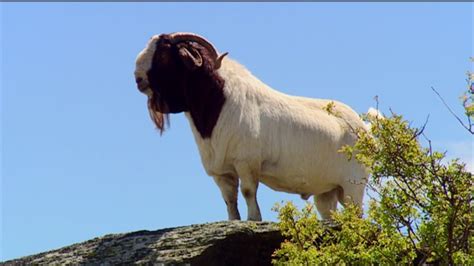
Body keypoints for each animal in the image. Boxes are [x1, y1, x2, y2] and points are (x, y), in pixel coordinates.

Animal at [133, 32, 370, 220]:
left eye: (163, 54)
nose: (138, 79)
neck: (219, 104)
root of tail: (366, 130)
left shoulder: (246, 163)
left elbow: (248, 192)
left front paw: (254, 219)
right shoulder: (221, 173)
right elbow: (229, 200)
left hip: (352, 186)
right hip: (326, 191)